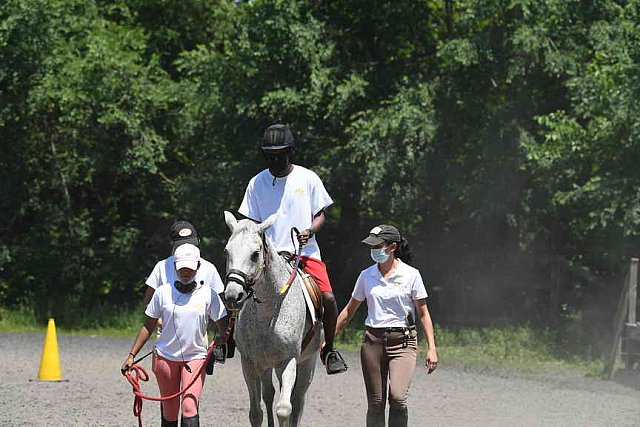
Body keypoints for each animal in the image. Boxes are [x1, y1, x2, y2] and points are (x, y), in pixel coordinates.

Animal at [222, 211, 322, 427]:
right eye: (227, 252)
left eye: (255, 254)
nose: (233, 296)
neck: (268, 312)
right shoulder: (249, 363)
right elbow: (255, 412)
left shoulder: (288, 361)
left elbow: (284, 409)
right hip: (266, 365)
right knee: (269, 394)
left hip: (306, 362)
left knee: (298, 400)